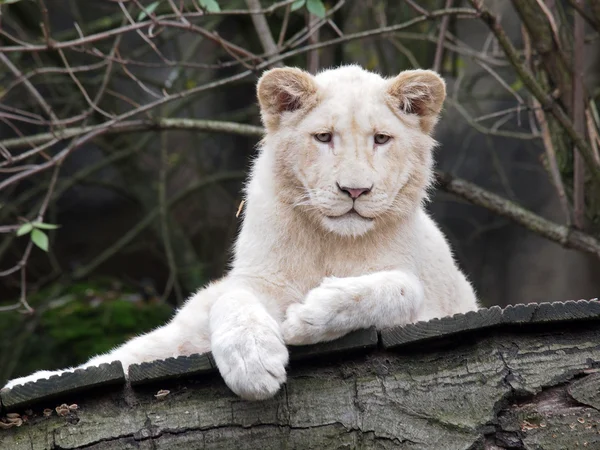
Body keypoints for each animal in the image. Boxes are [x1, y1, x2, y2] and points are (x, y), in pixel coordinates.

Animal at [3, 64, 478, 400]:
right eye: (323, 137)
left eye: (381, 139)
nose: (355, 190)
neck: (328, 241)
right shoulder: (257, 279)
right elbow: (233, 300)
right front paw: (253, 362)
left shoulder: (436, 303)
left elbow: (398, 288)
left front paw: (308, 316)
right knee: (129, 353)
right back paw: (29, 381)